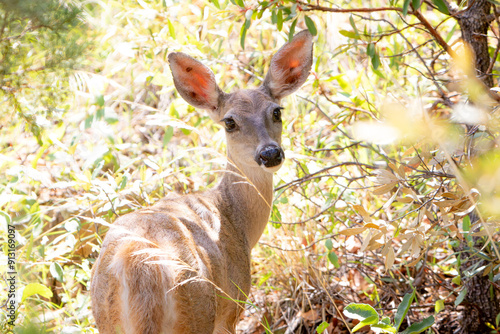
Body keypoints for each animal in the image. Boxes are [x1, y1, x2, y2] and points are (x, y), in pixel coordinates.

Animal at [91, 30, 312, 332]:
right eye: (229, 122)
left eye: (277, 111)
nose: (269, 153)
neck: (236, 218)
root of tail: (138, 266)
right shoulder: (232, 306)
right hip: (197, 314)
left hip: (105, 319)